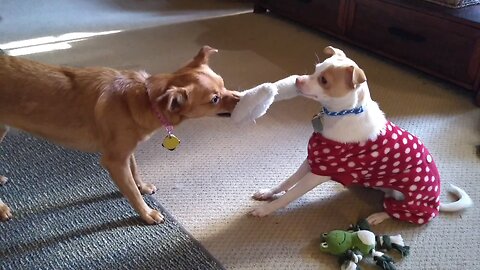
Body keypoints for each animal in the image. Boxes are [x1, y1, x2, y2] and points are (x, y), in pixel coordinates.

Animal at [0, 46, 240, 224]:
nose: (241, 97)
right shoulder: (115, 161)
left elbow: (135, 172)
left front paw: (143, 186)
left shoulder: (126, 151)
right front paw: (147, 213)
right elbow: (131, 191)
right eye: (215, 99)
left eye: (223, 83)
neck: (145, 97)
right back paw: (2, 209)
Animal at [251, 46, 472, 226]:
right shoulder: (314, 159)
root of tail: (436, 202)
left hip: (405, 200)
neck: (343, 113)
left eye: (324, 80)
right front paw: (268, 193)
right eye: (316, 68)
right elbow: (288, 182)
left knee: (397, 212)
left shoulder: (320, 172)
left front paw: (265, 210)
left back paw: (377, 216)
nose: (297, 80)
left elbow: (290, 195)